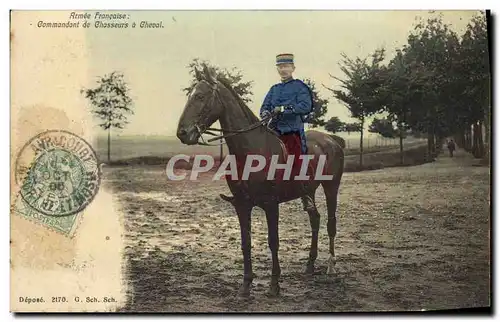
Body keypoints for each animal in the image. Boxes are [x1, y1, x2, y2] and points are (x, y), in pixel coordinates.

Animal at [176, 65, 344, 296]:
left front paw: (274, 284)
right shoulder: (242, 205)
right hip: (307, 191)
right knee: (315, 220)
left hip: (331, 187)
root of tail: (332, 140)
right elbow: (245, 243)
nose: (182, 133)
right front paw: (246, 284)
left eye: (200, 96)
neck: (250, 151)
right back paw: (310, 265)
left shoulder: (271, 204)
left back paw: (331, 266)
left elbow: (273, 241)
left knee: (331, 223)